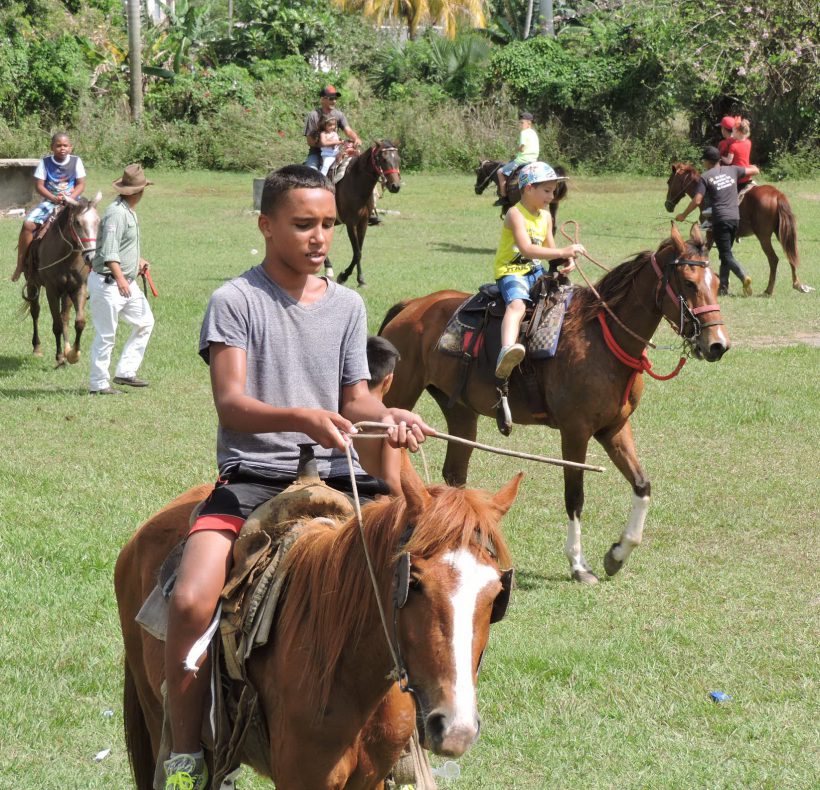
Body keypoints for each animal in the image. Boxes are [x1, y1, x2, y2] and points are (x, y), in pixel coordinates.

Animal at [21, 193, 101, 366]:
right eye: (77, 222)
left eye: (98, 221)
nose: (91, 257)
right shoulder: (52, 290)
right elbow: (56, 324)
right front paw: (59, 357)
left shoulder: (78, 287)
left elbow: (79, 322)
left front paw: (73, 354)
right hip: (32, 284)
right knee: (35, 312)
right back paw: (37, 348)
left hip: (66, 292)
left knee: (64, 316)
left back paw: (67, 349)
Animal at [380, 226, 732, 584]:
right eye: (689, 283)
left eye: (717, 281)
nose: (718, 344)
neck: (602, 339)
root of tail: (412, 305)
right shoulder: (575, 432)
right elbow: (575, 497)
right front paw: (579, 564)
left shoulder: (614, 429)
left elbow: (642, 485)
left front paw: (617, 554)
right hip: (397, 398)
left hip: (461, 411)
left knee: (454, 472)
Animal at [664, 164, 812, 296]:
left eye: (669, 182)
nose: (667, 205)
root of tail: (777, 195)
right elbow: (725, 259)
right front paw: (723, 285)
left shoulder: (711, 234)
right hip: (781, 234)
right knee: (790, 255)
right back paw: (797, 284)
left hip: (764, 237)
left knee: (773, 259)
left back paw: (768, 290)